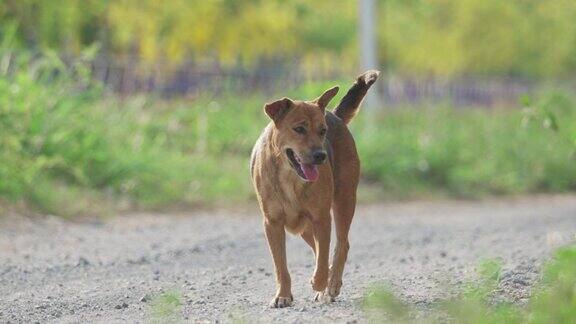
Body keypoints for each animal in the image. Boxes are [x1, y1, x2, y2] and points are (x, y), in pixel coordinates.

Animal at [251, 69, 378, 308]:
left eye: (322, 131)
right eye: (299, 129)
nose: (321, 156)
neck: (290, 177)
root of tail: (334, 114)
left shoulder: (321, 217)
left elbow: (323, 255)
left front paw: (320, 283)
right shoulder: (272, 223)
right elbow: (280, 265)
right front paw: (283, 295)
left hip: (344, 200)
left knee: (341, 245)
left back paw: (331, 284)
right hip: (303, 227)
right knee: (319, 247)